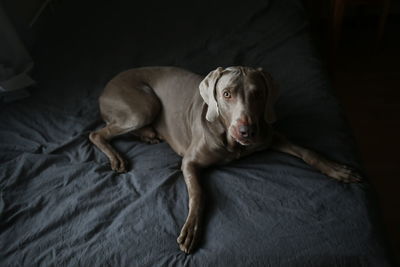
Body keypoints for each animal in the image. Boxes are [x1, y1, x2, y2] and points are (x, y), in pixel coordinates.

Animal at [90, 66, 362, 254]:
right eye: (227, 94)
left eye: (258, 94)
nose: (247, 131)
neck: (232, 144)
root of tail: (106, 86)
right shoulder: (189, 162)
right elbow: (198, 194)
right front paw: (192, 229)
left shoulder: (271, 135)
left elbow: (308, 151)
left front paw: (336, 169)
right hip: (144, 104)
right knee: (97, 133)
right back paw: (118, 157)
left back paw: (147, 135)